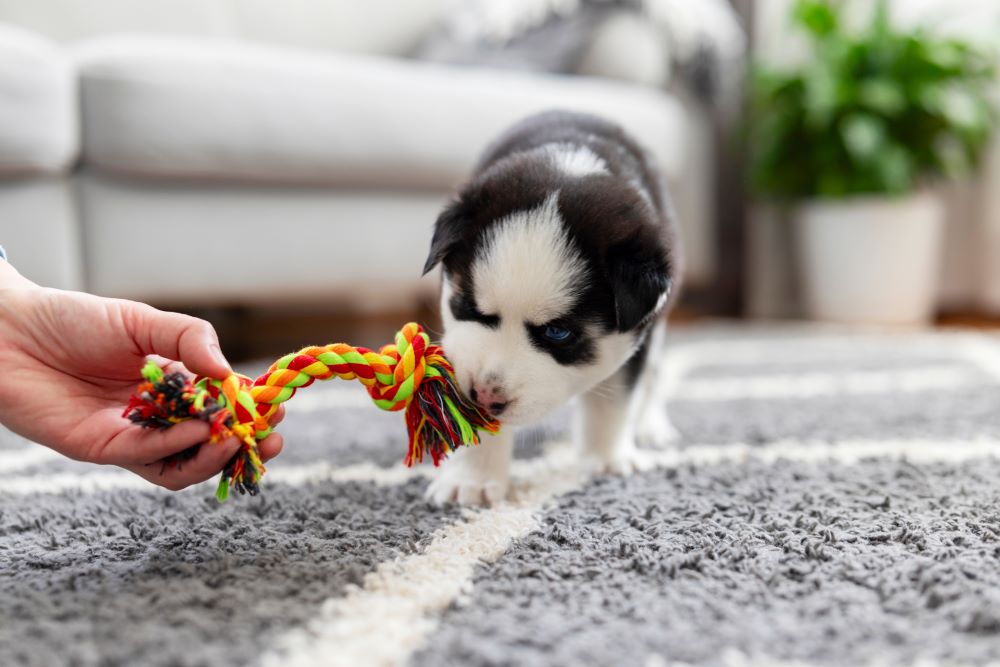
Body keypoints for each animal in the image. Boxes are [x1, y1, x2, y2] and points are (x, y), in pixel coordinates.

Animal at [418, 111, 684, 506]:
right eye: (469, 307)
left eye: (558, 333)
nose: (485, 396)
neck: (569, 163)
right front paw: (473, 479)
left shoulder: (638, 333)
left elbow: (616, 398)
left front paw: (608, 458)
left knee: (654, 374)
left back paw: (653, 426)